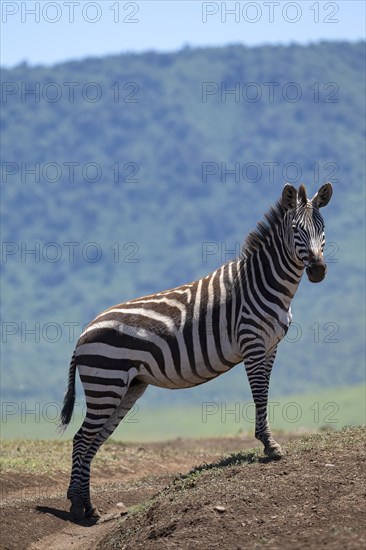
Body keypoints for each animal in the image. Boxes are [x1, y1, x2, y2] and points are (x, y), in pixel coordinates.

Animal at [59, 183, 332, 520]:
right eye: (296, 230)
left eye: (322, 228)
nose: (318, 270)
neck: (263, 282)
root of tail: (83, 334)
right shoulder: (253, 343)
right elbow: (260, 394)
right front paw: (270, 445)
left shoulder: (271, 348)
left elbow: (265, 393)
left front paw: (268, 441)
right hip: (106, 382)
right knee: (81, 438)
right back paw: (77, 504)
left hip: (127, 387)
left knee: (93, 440)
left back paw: (86, 506)